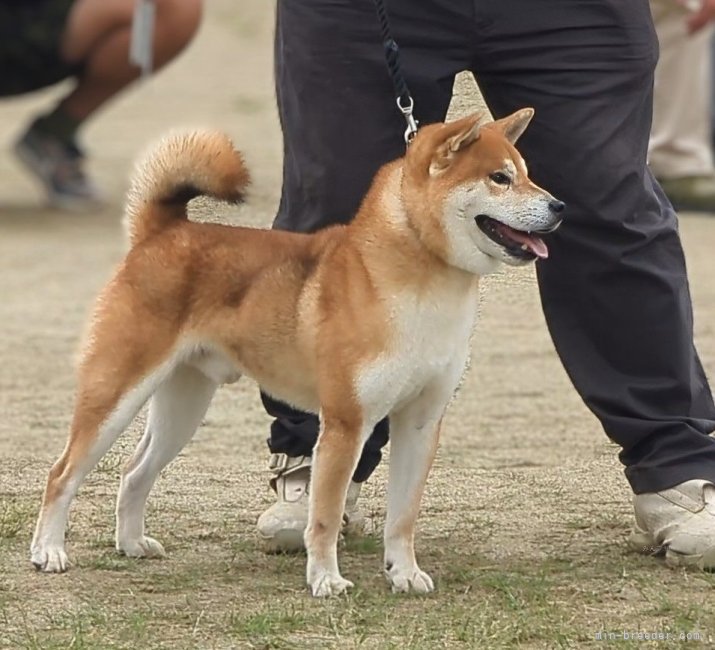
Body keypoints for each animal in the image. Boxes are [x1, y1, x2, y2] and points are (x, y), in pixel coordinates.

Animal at [30, 109, 564, 596]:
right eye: (499, 178)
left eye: (527, 172)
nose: (560, 206)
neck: (420, 284)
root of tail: (163, 232)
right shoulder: (346, 424)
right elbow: (324, 515)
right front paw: (326, 579)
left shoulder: (420, 421)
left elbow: (402, 517)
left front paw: (404, 574)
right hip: (116, 393)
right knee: (61, 473)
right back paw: (49, 552)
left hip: (183, 407)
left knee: (133, 472)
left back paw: (132, 544)